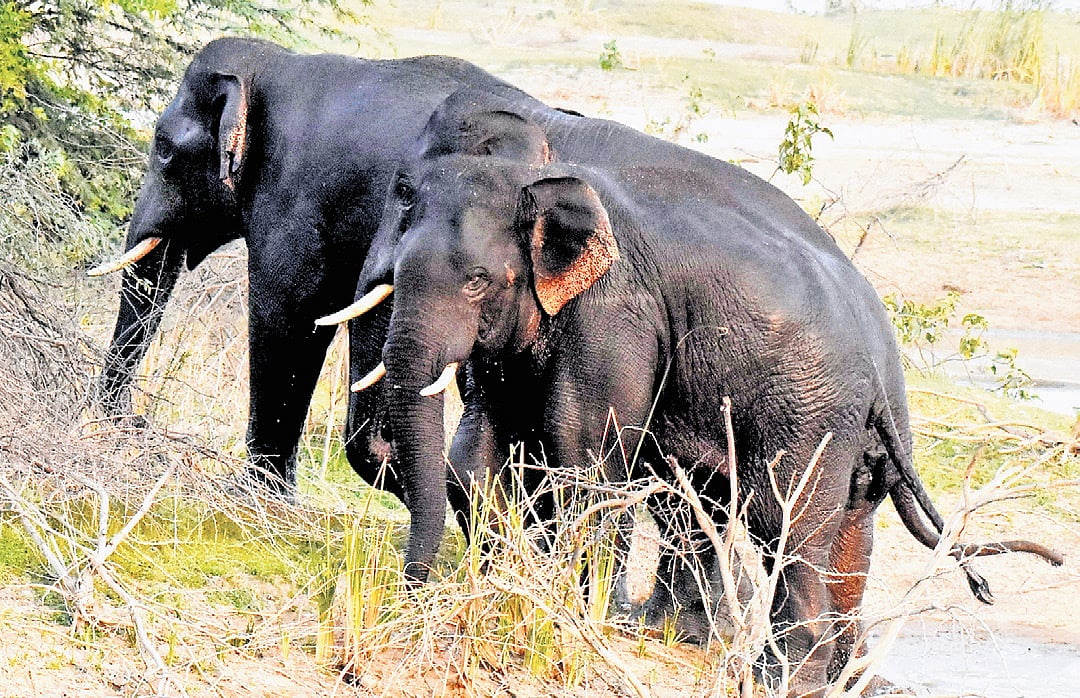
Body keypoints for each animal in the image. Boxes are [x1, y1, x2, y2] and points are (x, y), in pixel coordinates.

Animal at [88, 37, 544, 496]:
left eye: (164, 148)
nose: (137, 423)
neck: (273, 64)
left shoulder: (295, 200)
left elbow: (289, 315)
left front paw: (259, 496)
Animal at [326, 95, 1063, 697]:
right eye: (401, 195)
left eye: (478, 281)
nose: (408, 597)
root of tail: (880, 366)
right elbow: (476, 450)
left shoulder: (614, 315)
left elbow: (582, 458)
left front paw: (568, 612)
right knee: (808, 521)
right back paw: (796, 666)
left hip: (809, 410)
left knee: (785, 521)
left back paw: (780, 676)